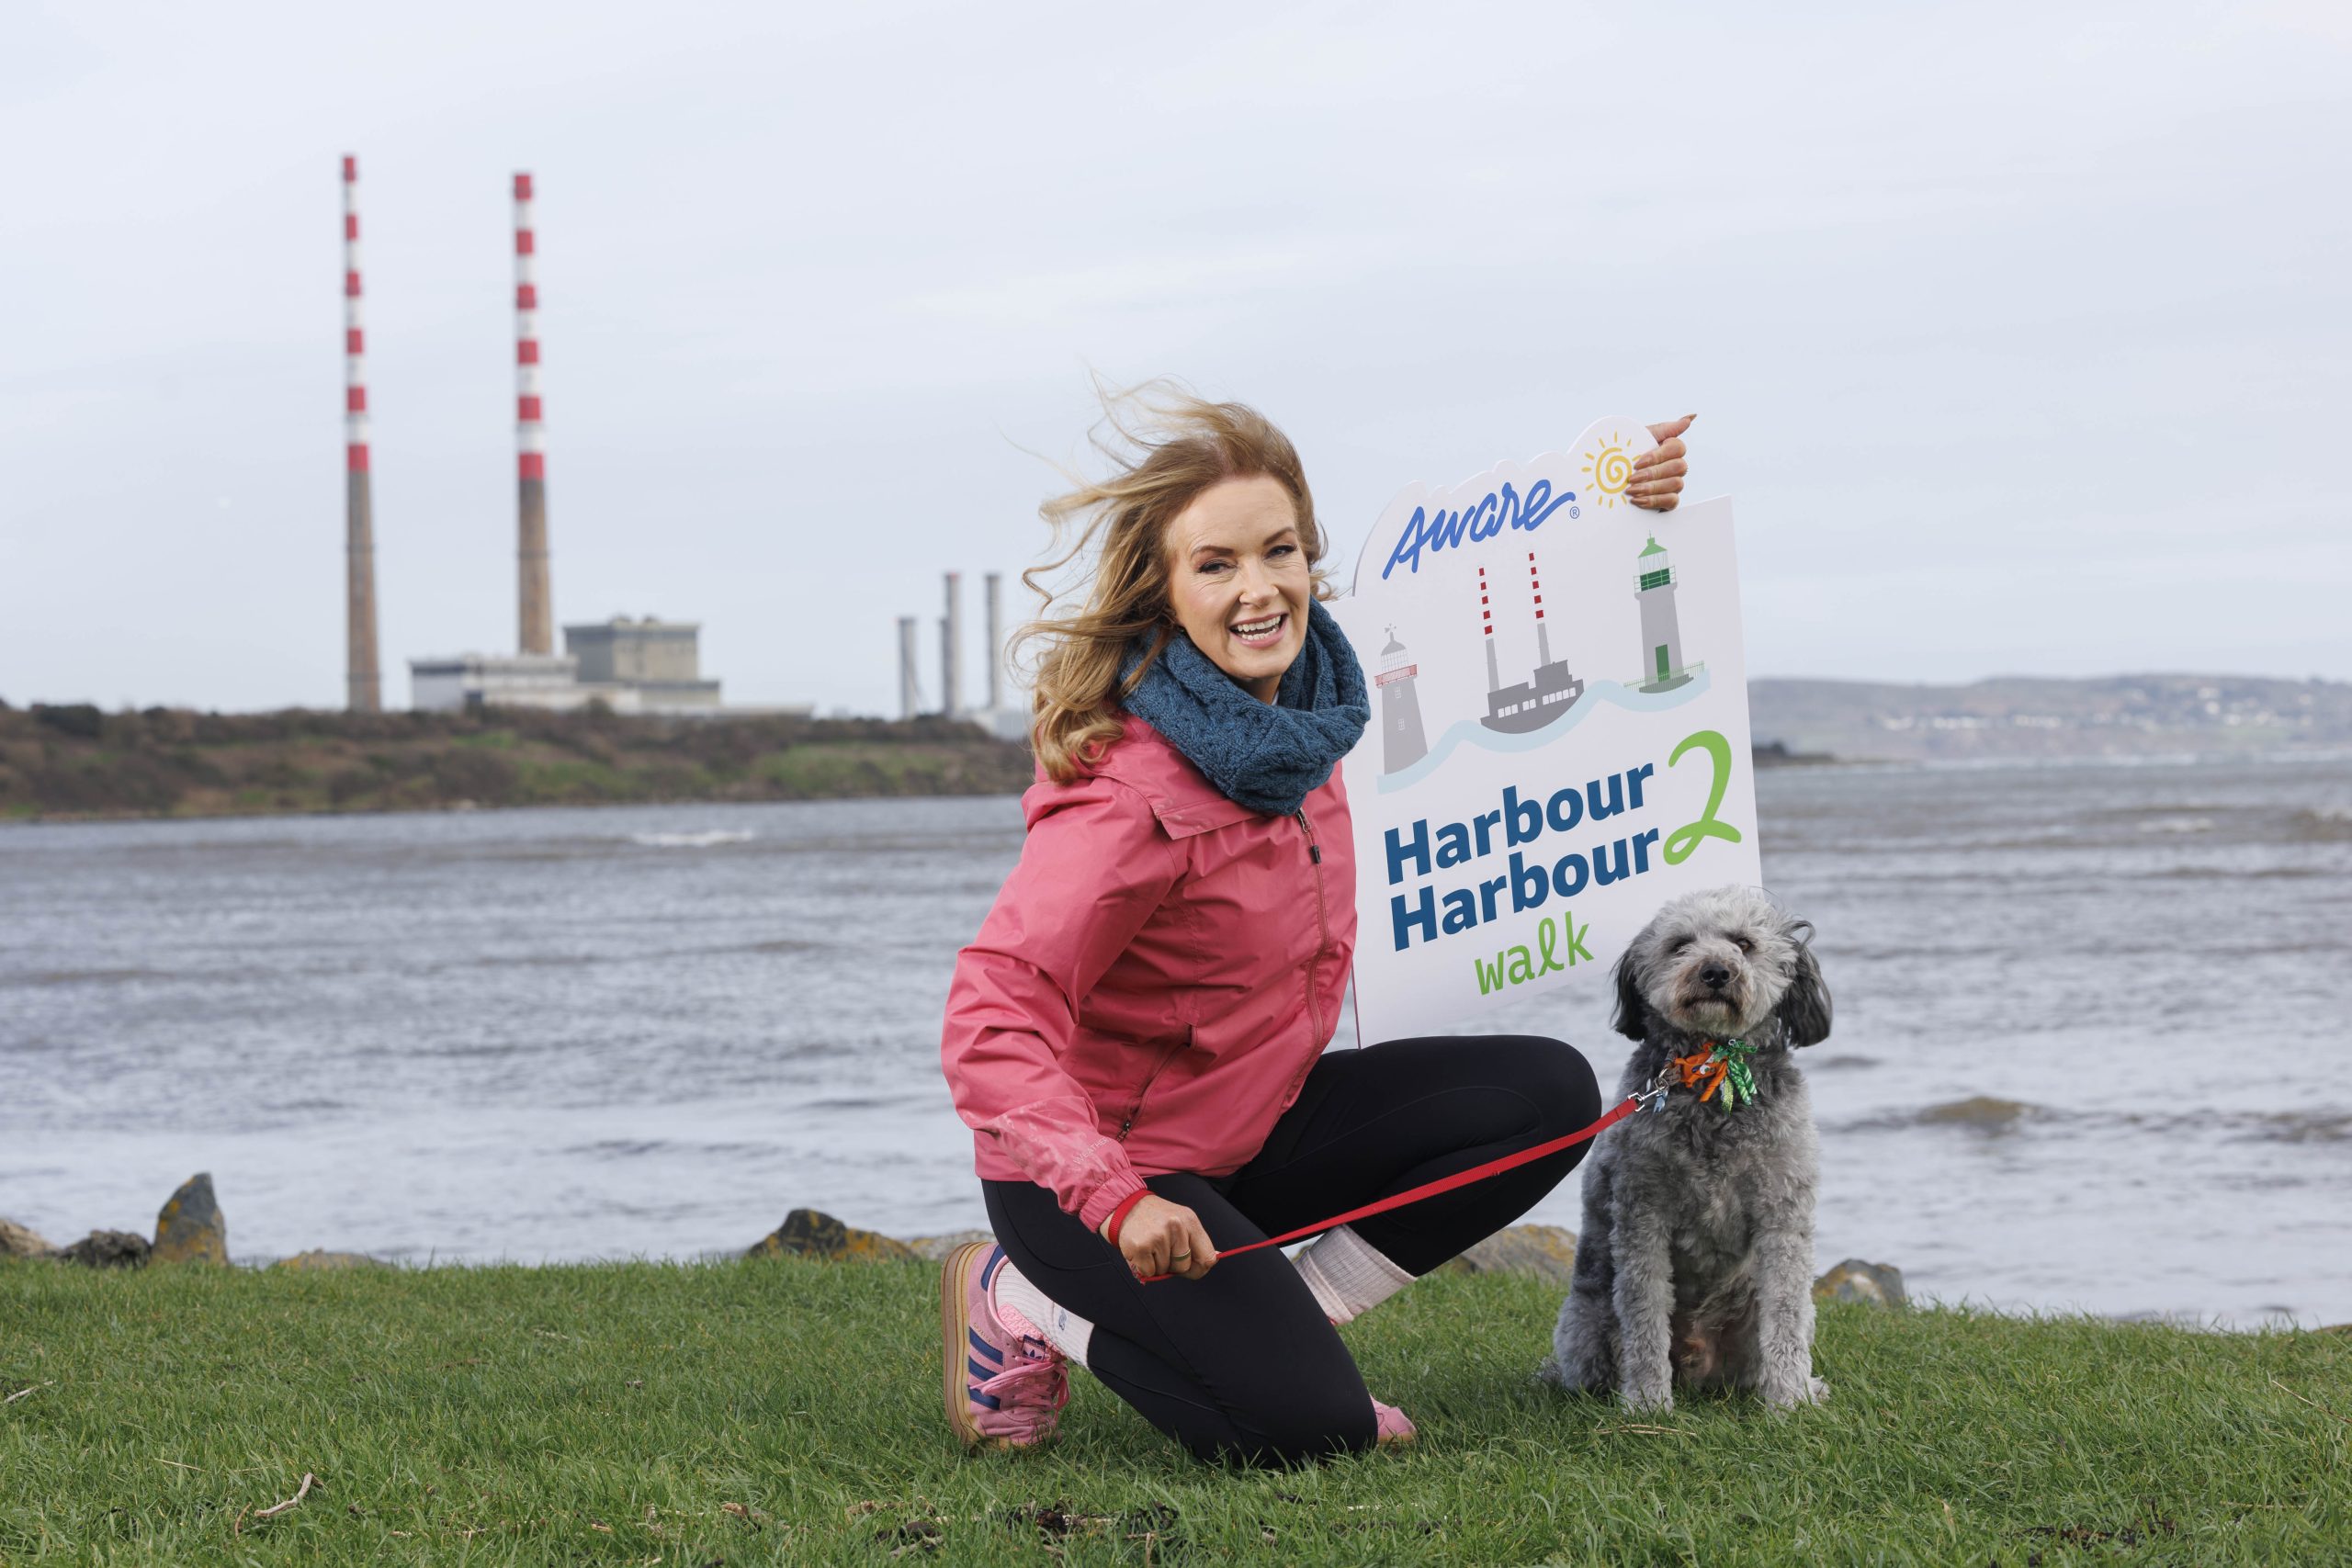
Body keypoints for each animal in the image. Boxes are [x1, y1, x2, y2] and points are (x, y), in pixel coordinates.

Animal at [1547, 886, 1834, 1412]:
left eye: (1744, 943)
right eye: (1680, 944)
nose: (1716, 971)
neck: (1711, 1069)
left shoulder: (1782, 1214)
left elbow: (1785, 1315)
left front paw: (1789, 1401)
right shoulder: (1642, 1218)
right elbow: (1644, 1319)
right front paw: (1646, 1403)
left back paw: (1805, 1386)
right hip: (1589, 1322)